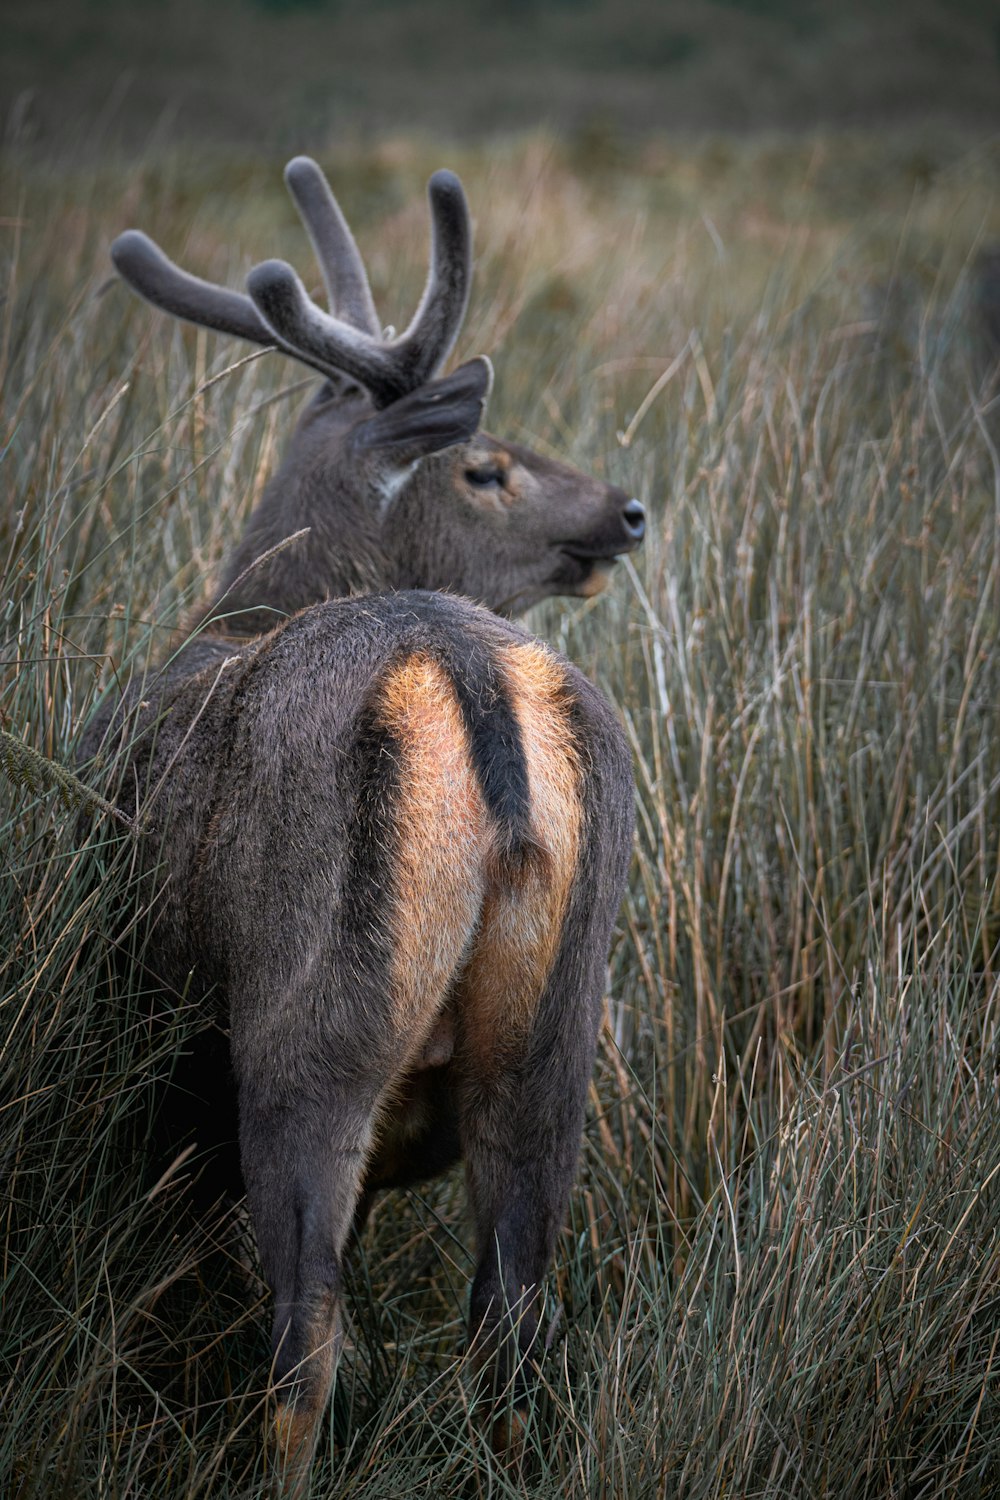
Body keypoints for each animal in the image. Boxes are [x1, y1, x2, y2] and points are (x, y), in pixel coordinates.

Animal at [89, 158, 644, 1482]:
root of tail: (472, 668)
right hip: (556, 1041)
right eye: (485, 465)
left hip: (313, 1022)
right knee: (512, 1327)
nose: (627, 511)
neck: (232, 612)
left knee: (305, 1349)